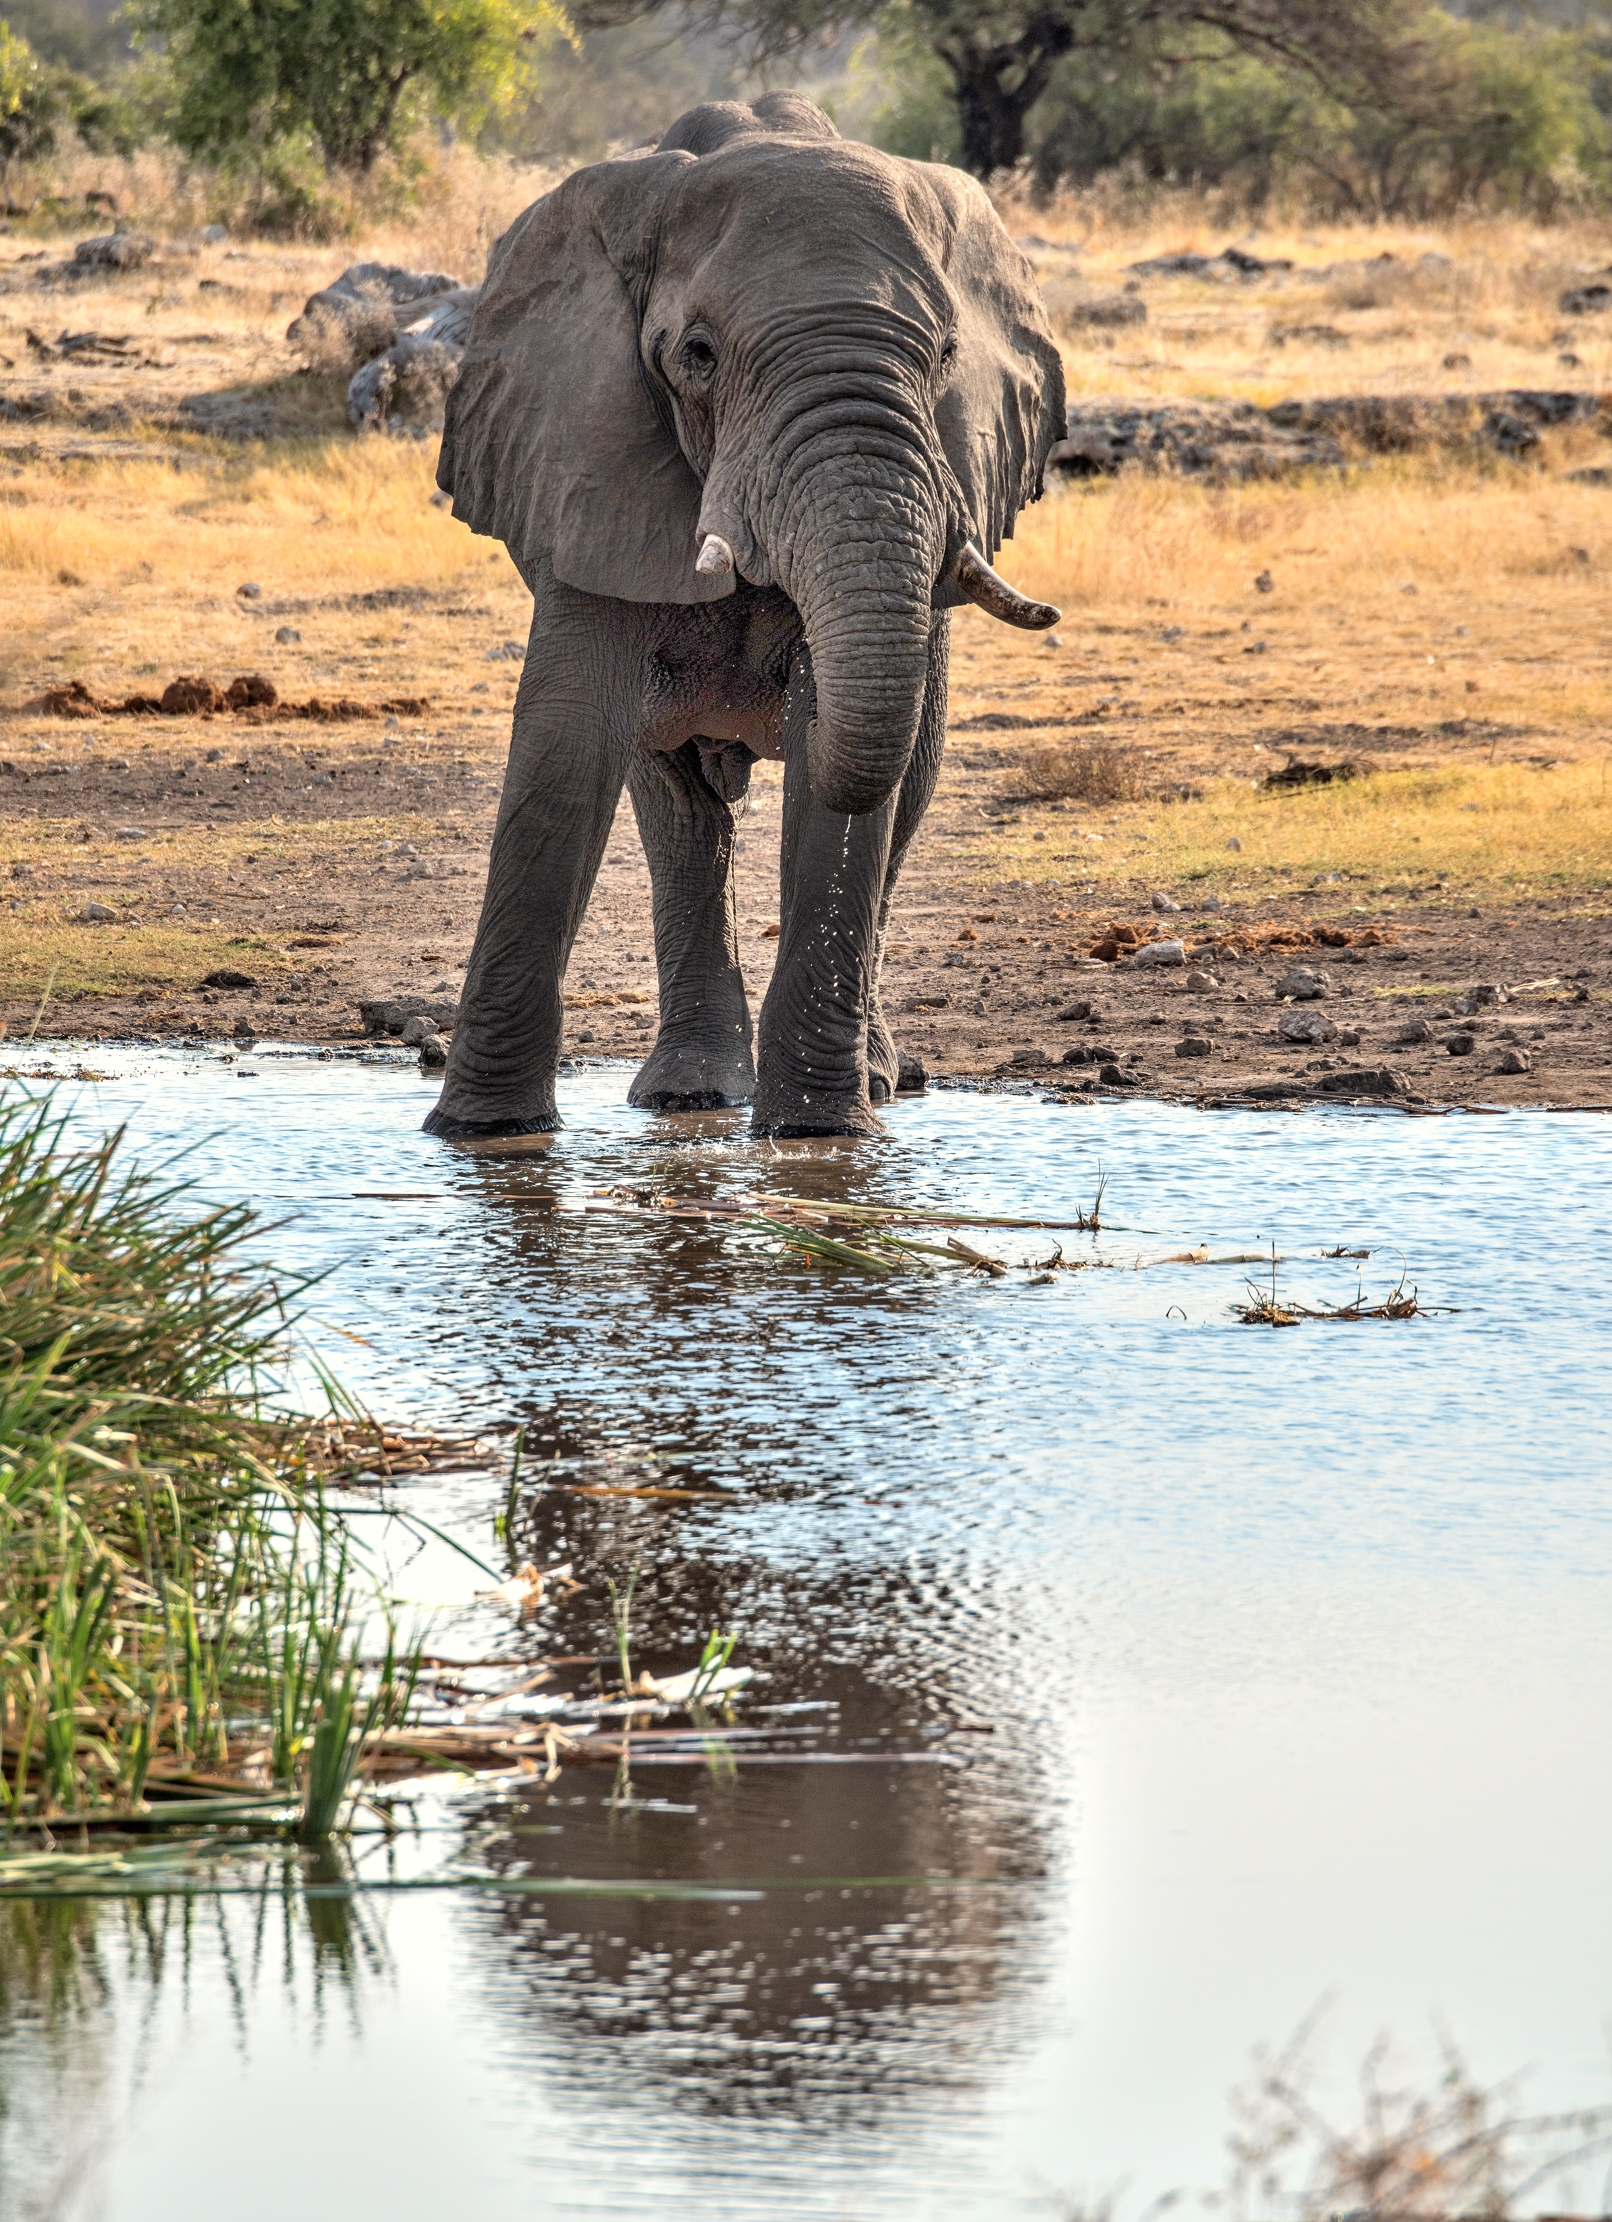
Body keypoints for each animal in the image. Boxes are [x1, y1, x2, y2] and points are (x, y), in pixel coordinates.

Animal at [424, 90, 1065, 1142]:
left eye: (943, 355)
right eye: (698, 355)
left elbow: (839, 780)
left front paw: (818, 1137)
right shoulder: (587, 460)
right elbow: (566, 747)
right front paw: (483, 1138)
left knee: (903, 786)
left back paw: (862, 1079)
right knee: (678, 810)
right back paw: (689, 1095)